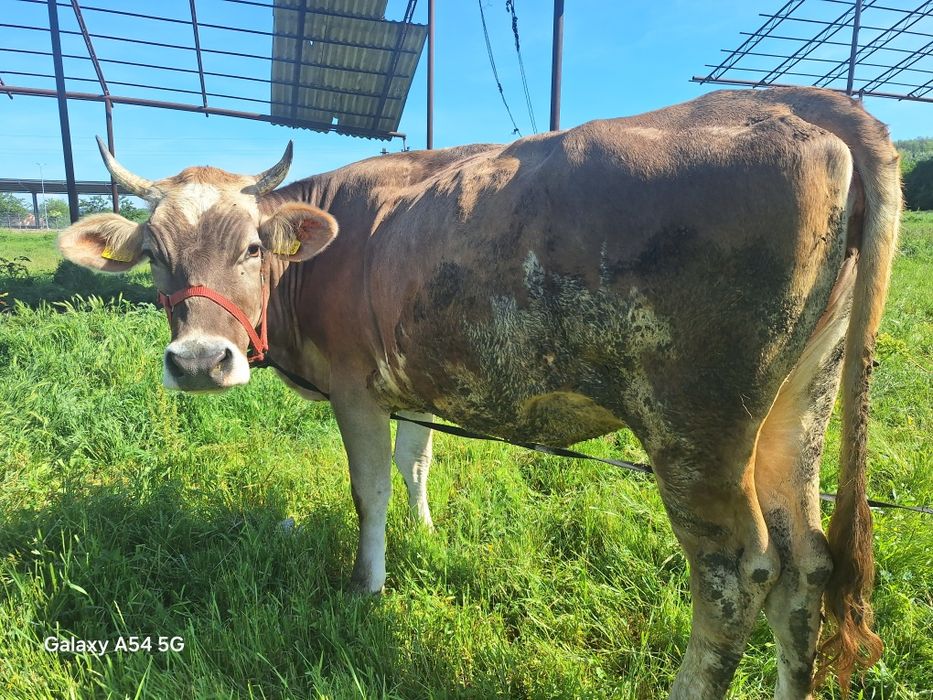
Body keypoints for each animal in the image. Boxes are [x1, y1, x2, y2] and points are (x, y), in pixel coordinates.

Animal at [58, 87, 901, 699]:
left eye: (253, 246)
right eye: (154, 253)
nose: (200, 361)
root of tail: (803, 101)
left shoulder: (354, 387)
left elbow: (369, 490)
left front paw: (367, 588)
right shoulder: (411, 381)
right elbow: (416, 461)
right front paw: (428, 533)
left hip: (694, 424)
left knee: (737, 574)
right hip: (798, 404)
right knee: (805, 565)